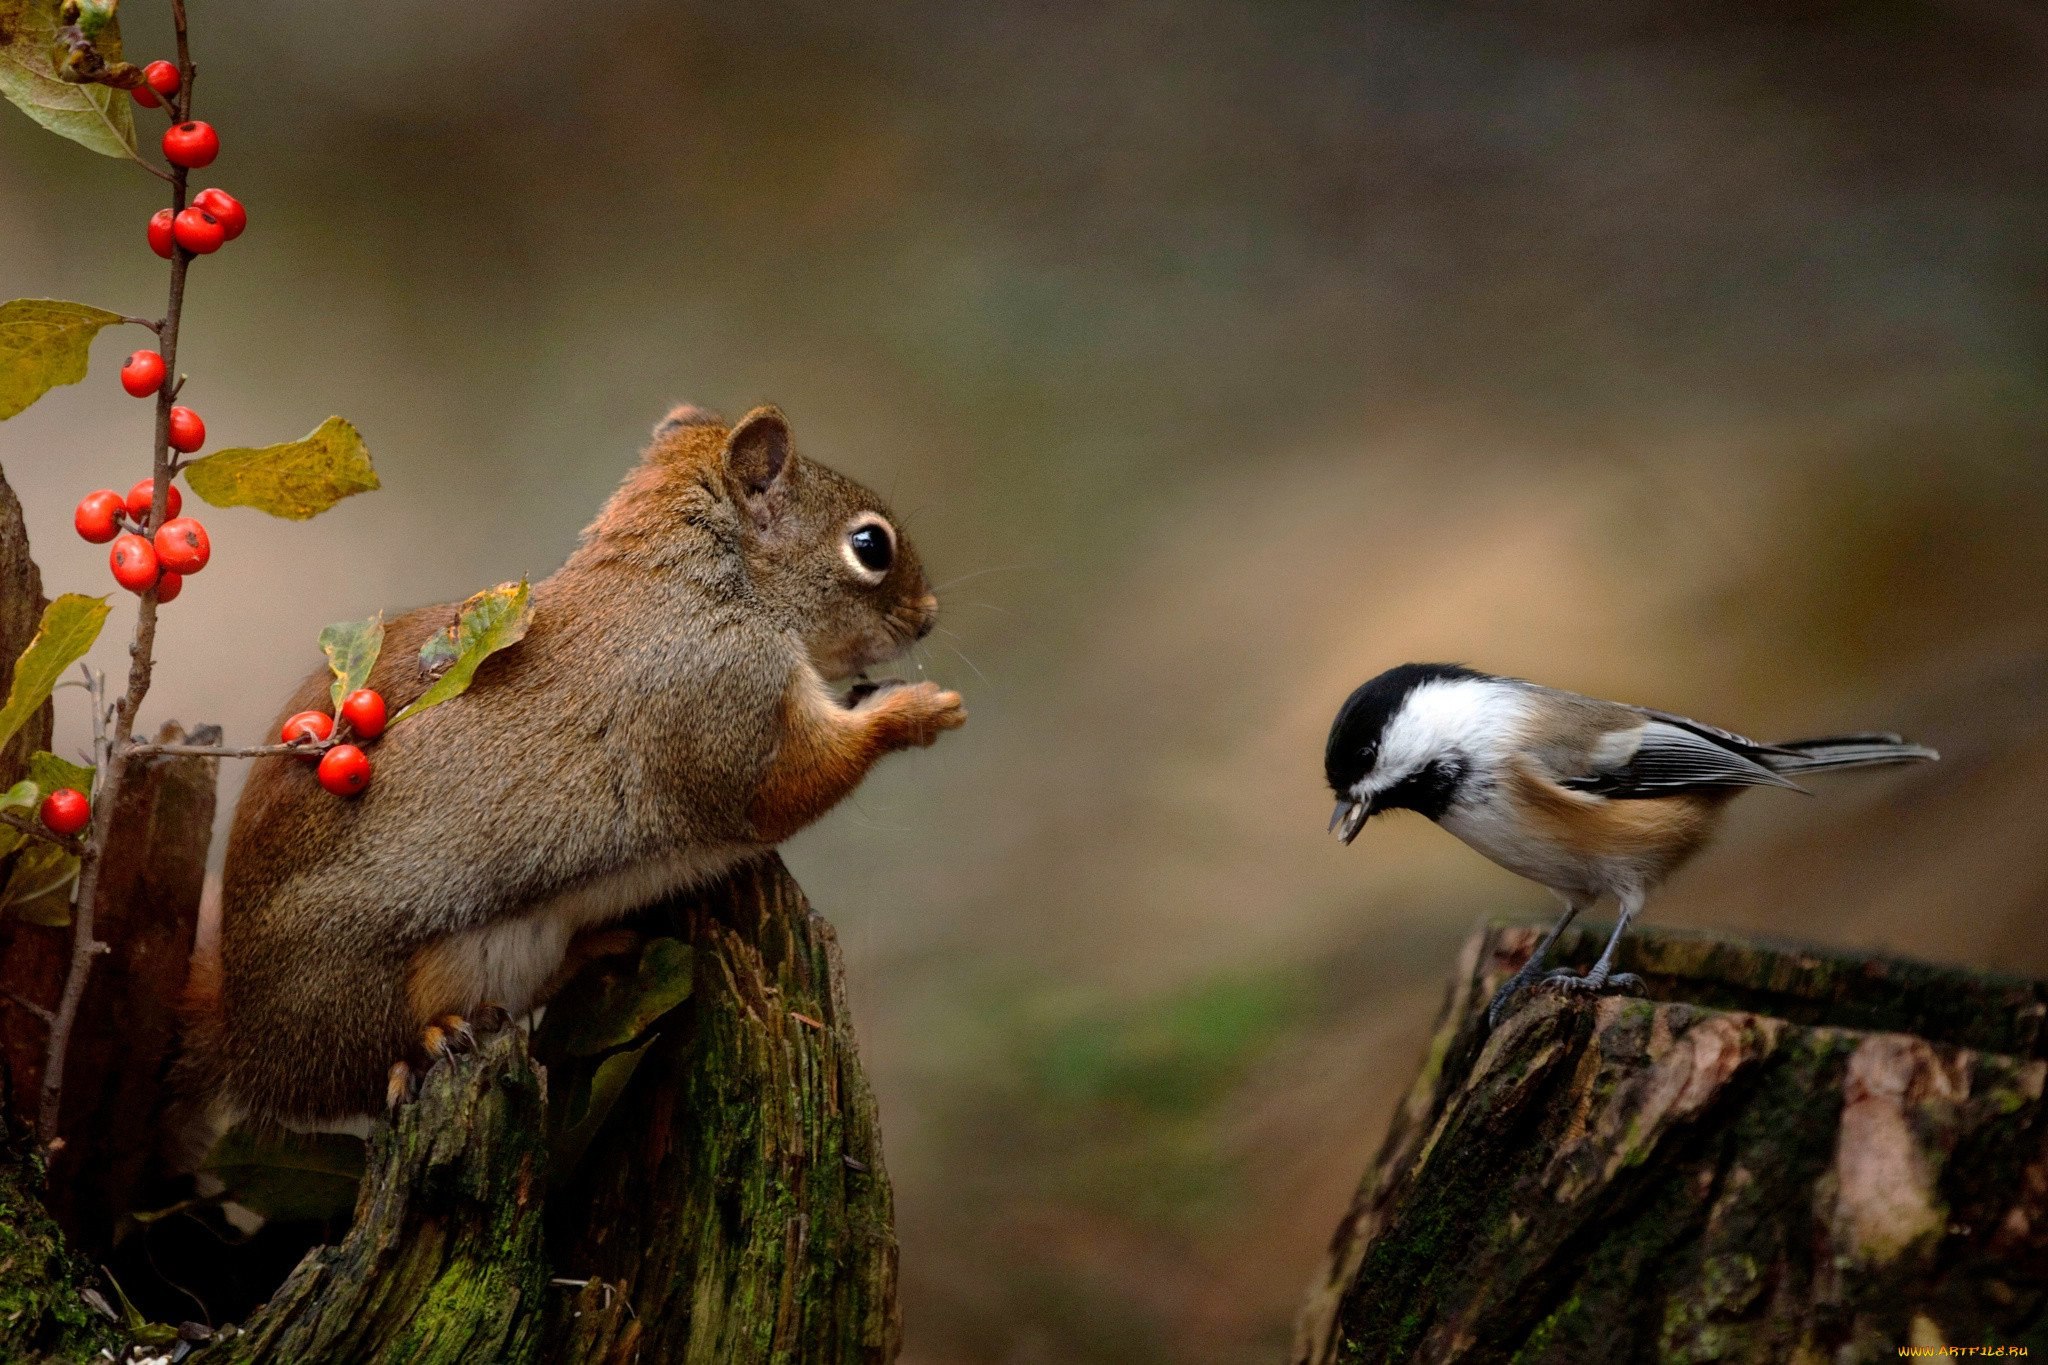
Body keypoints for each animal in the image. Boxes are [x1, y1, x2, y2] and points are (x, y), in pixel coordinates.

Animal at [184, 405, 966, 1129]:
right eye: (870, 545)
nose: (928, 615)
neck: (705, 588)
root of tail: (248, 1040)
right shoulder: (716, 702)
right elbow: (786, 788)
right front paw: (917, 710)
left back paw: (597, 948)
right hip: (378, 985)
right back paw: (430, 1041)